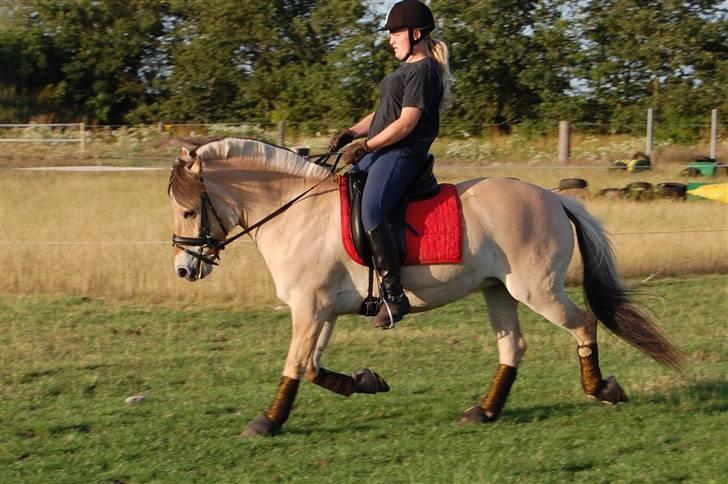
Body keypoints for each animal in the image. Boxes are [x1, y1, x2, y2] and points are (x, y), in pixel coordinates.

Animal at [168, 136, 680, 434]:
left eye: (189, 210)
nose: (184, 270)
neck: (296, 213)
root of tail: (554, 198)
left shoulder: (310, 309)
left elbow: (294, 365)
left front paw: (268, 421)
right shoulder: (322, 310)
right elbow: (311, 367)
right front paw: (365, 381)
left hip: (537, 290)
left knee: (584, 324)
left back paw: (602, 389)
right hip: (498, 290)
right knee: (512, 347)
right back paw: (485, 411)